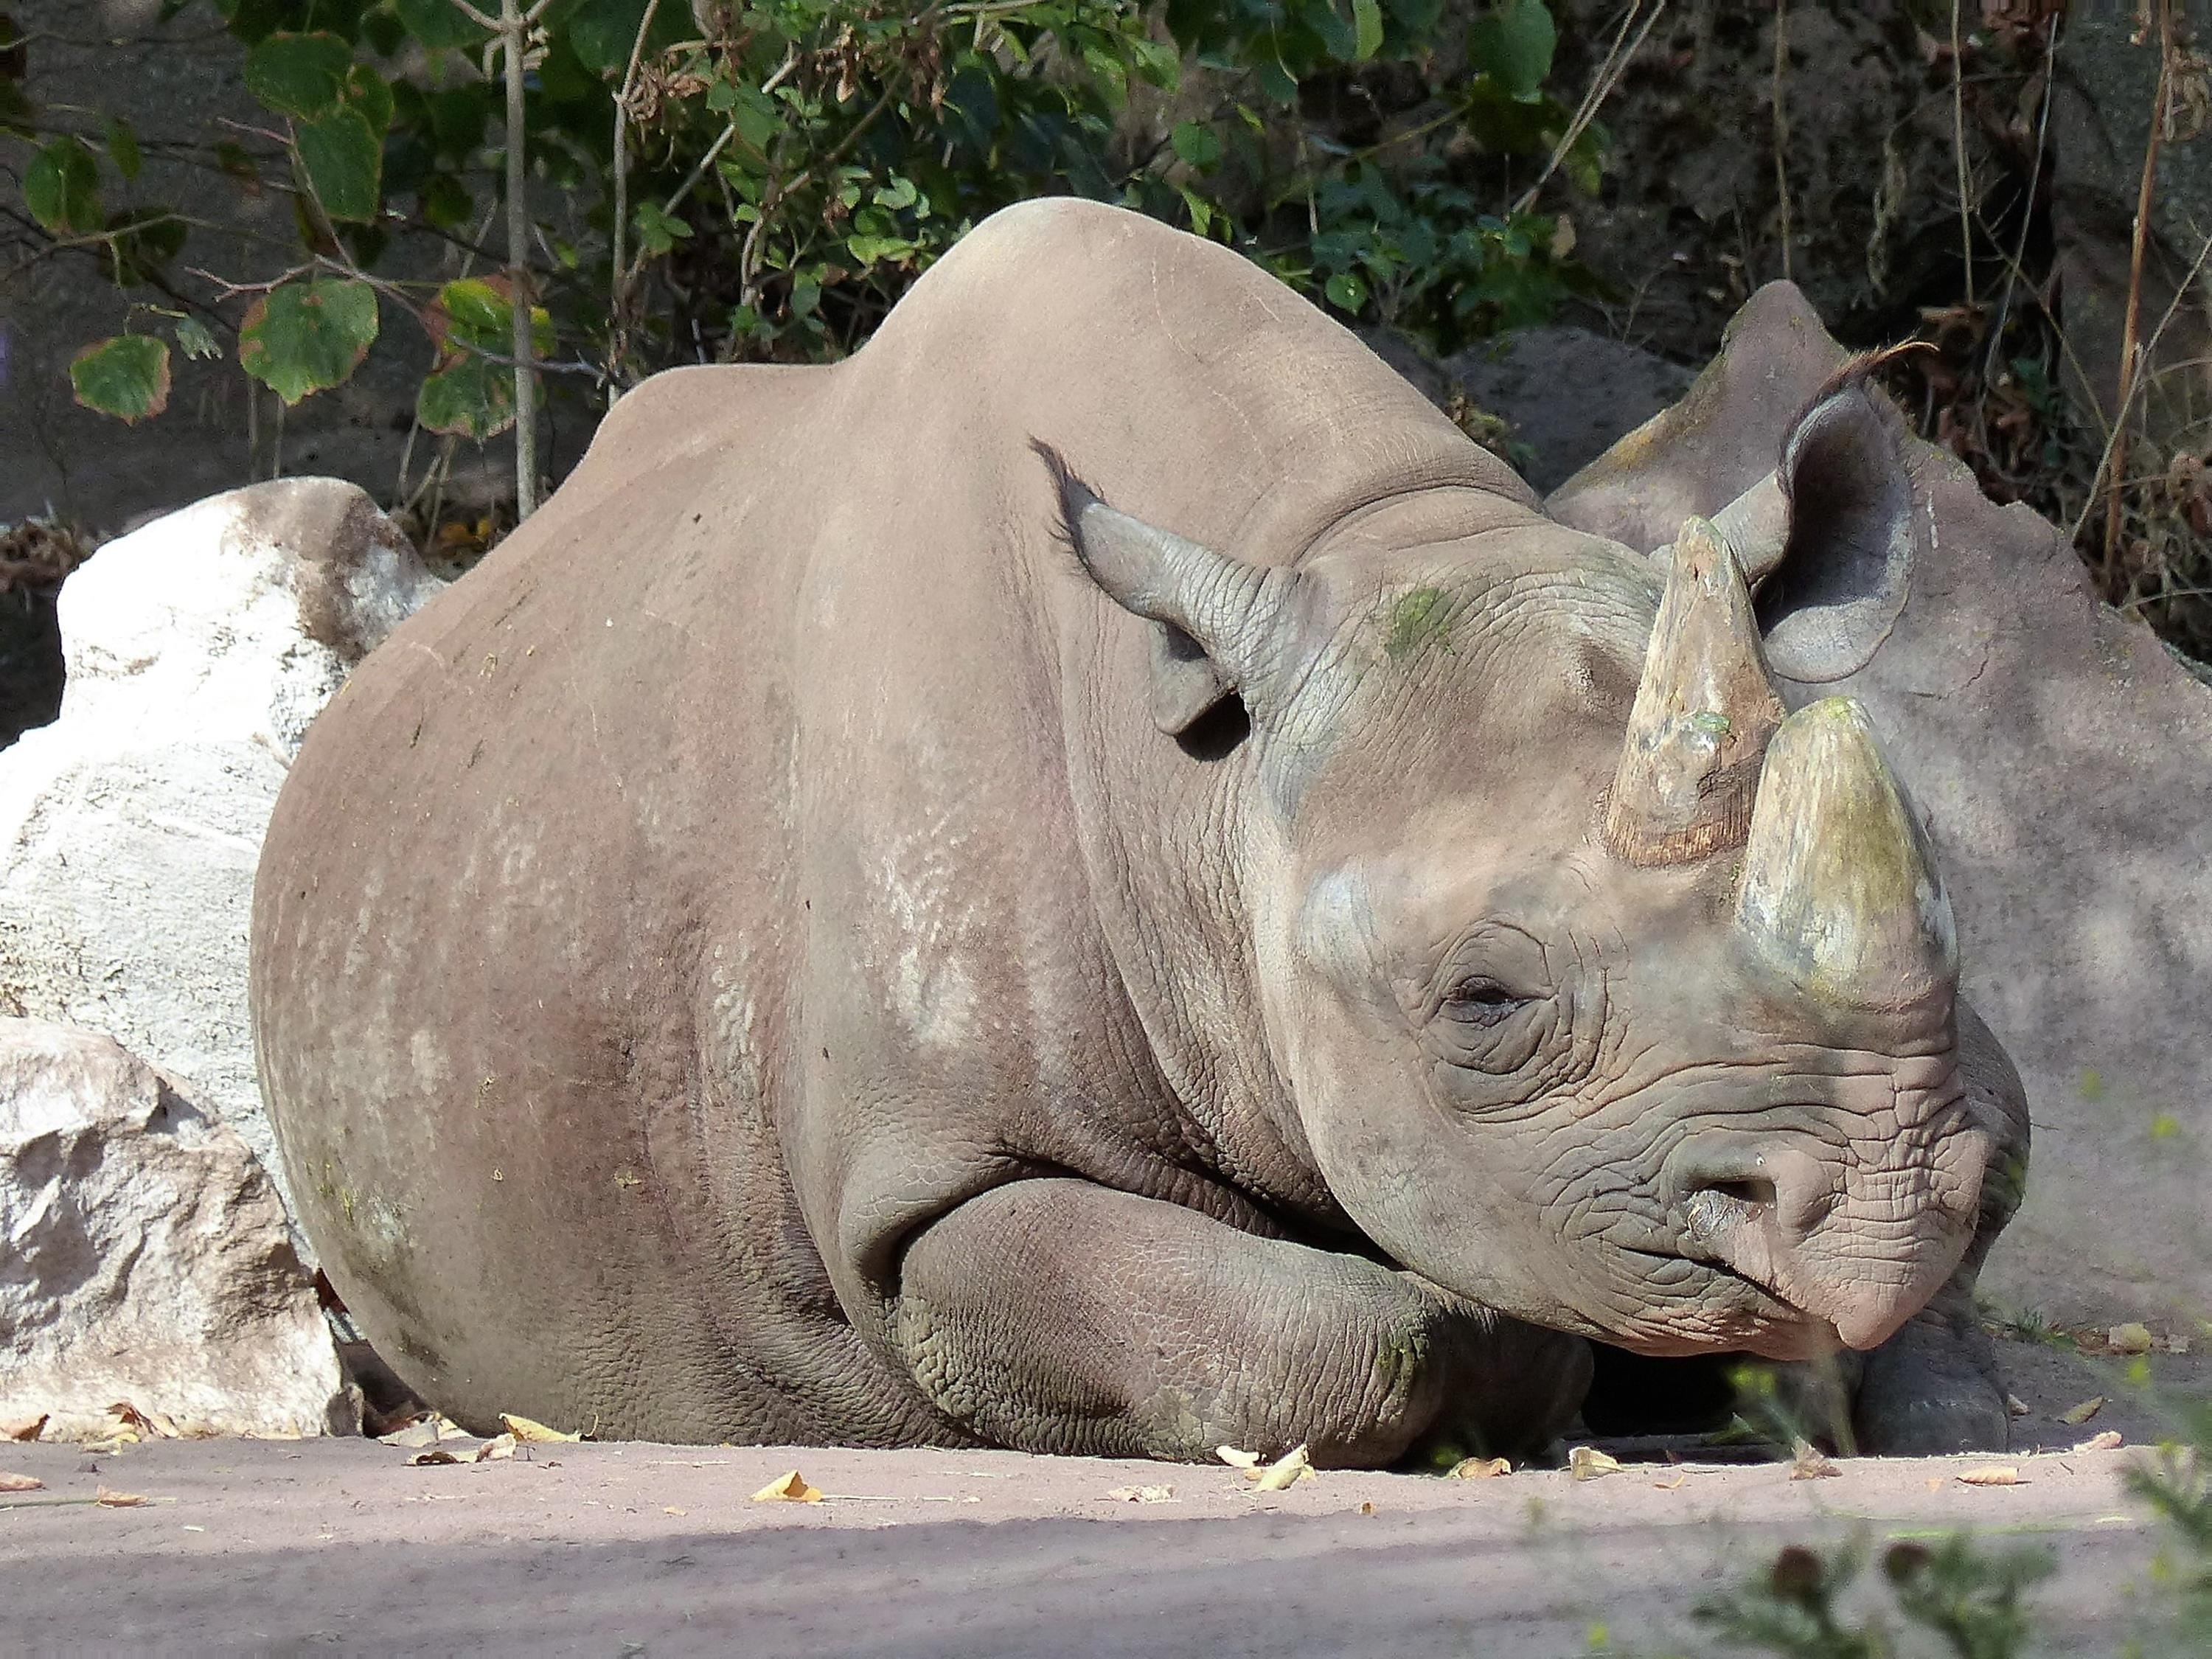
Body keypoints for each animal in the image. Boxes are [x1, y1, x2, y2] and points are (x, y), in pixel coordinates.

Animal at [251, 199, 2026, 1464]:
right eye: (1486, 1005)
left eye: (1953, 910)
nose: (1883, 1207)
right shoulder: (930, 1188)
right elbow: (1343, 1337)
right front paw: (1516, 1360)